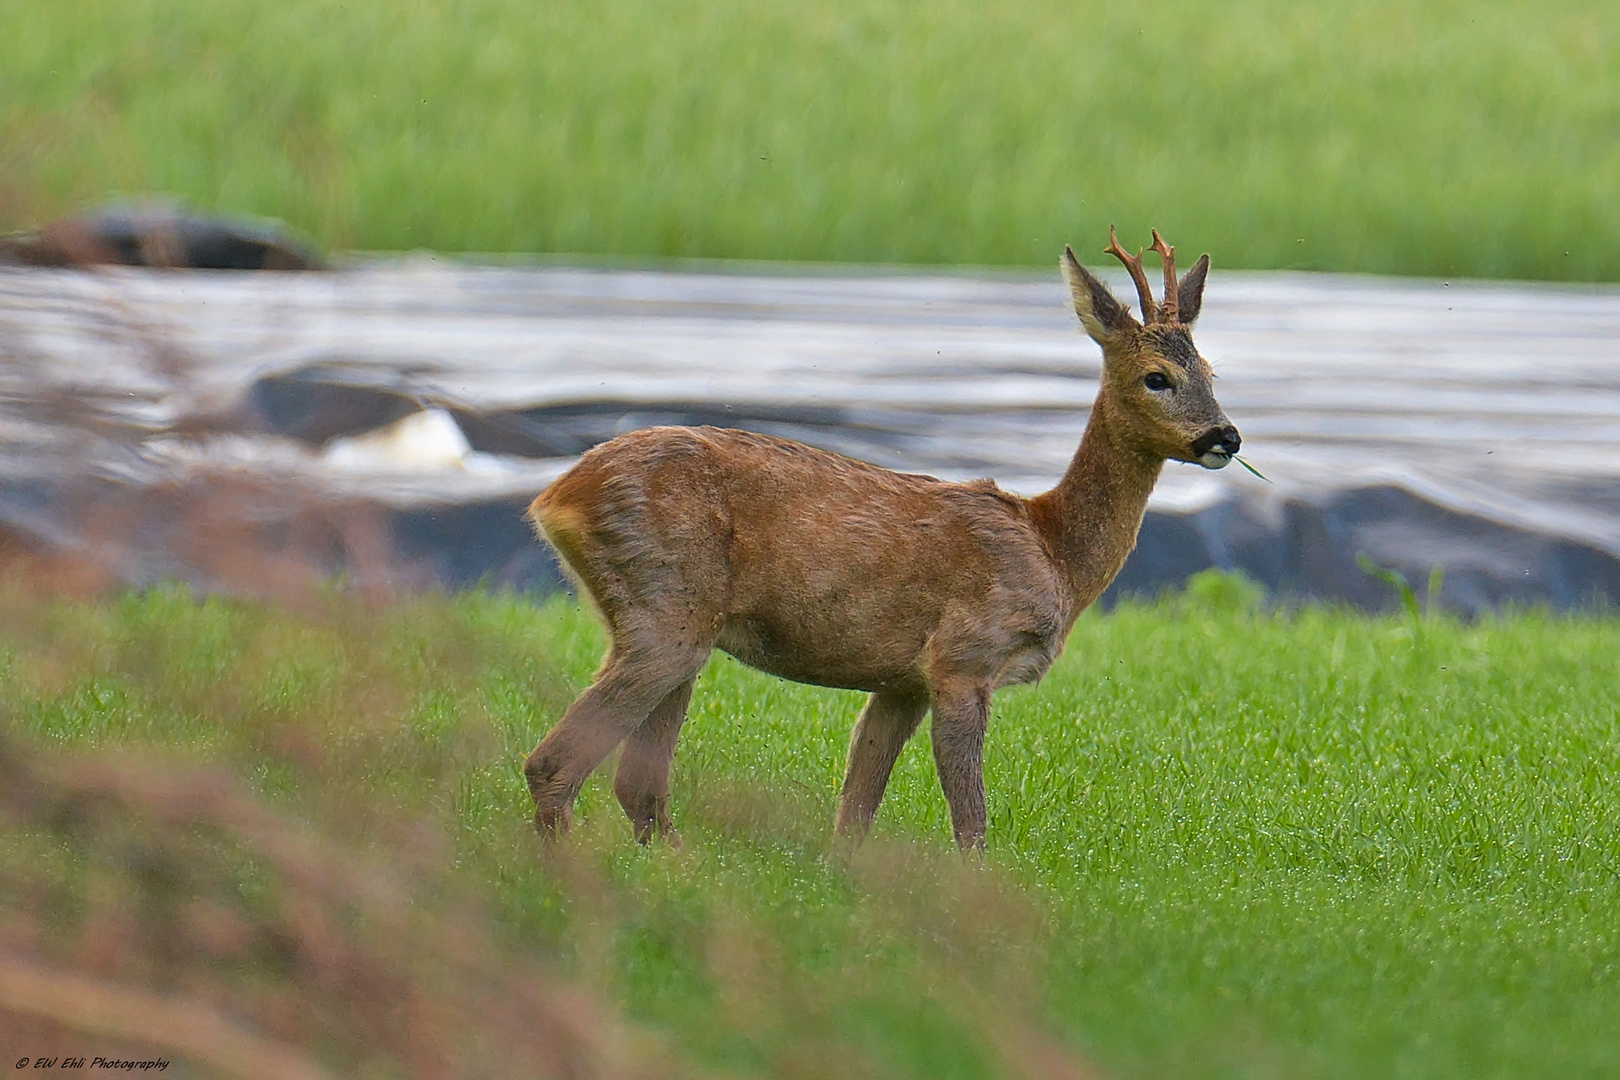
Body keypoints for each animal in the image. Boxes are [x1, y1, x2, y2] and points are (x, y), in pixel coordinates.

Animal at [521, 229, 1237, 854]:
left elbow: (856, 810)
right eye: (1156, 377)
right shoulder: (963, 657)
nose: (1224, 437)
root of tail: (555, 496)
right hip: (664, 609)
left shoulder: (903, 681)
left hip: (679, 626)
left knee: (637, 786)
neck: (1053, 547)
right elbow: (970, 819)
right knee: (554, 765)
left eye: (1211, 371)